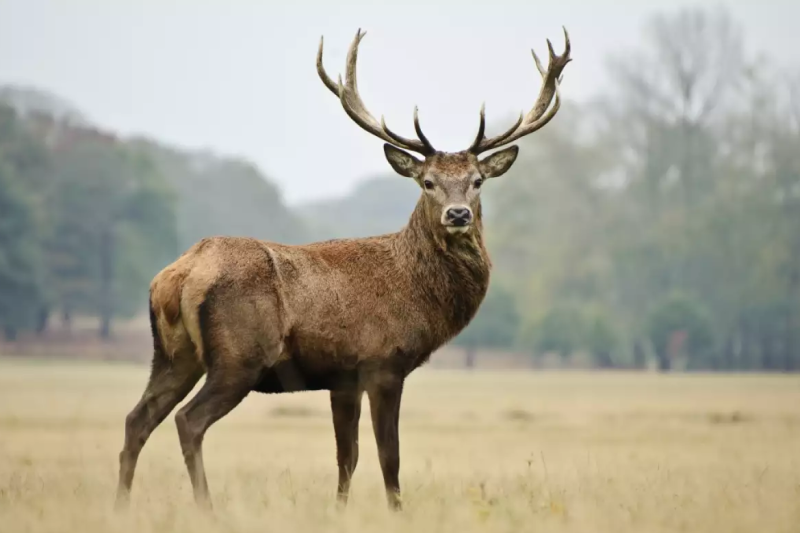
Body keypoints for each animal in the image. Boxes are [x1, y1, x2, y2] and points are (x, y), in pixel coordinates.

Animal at [115, 27, 572, 510]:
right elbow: (389, 456)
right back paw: (206, 508)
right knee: (189, 420)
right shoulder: (383, 362)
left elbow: (346, 457)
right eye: (427, 182)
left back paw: (121, 506)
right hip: (239, 356)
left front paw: (339, 510)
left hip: (172, 354)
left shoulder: (342, 377)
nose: (458, 214)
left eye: (477, 181)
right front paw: (396, 511)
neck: (417, 293)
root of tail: (179, 274)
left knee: (137, 418)